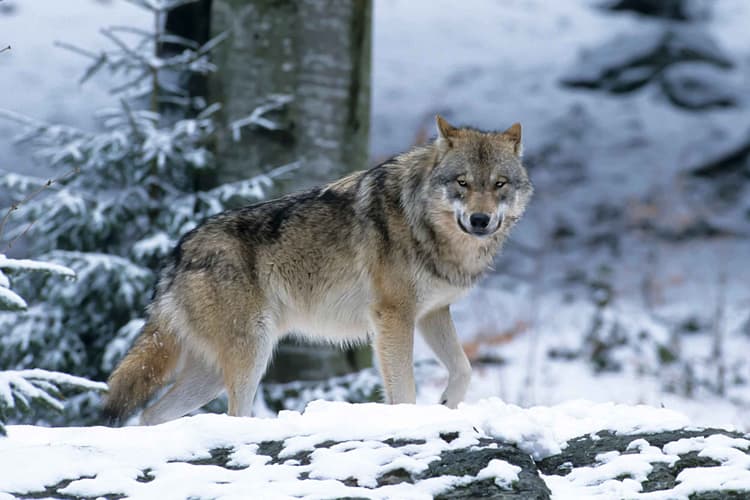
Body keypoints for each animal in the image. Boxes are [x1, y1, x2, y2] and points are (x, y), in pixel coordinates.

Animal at [103, 116, 533, 425]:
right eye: (462, 183)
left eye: (499, 184)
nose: (480, 220)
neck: (426, 225)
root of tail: (177, 254)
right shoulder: (394, 316)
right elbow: (404, 389)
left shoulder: (431, 313)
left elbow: (464, 369)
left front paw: (444, 405)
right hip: (252, 353)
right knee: (232, 413)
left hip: (210, 373)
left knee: (150, 413)